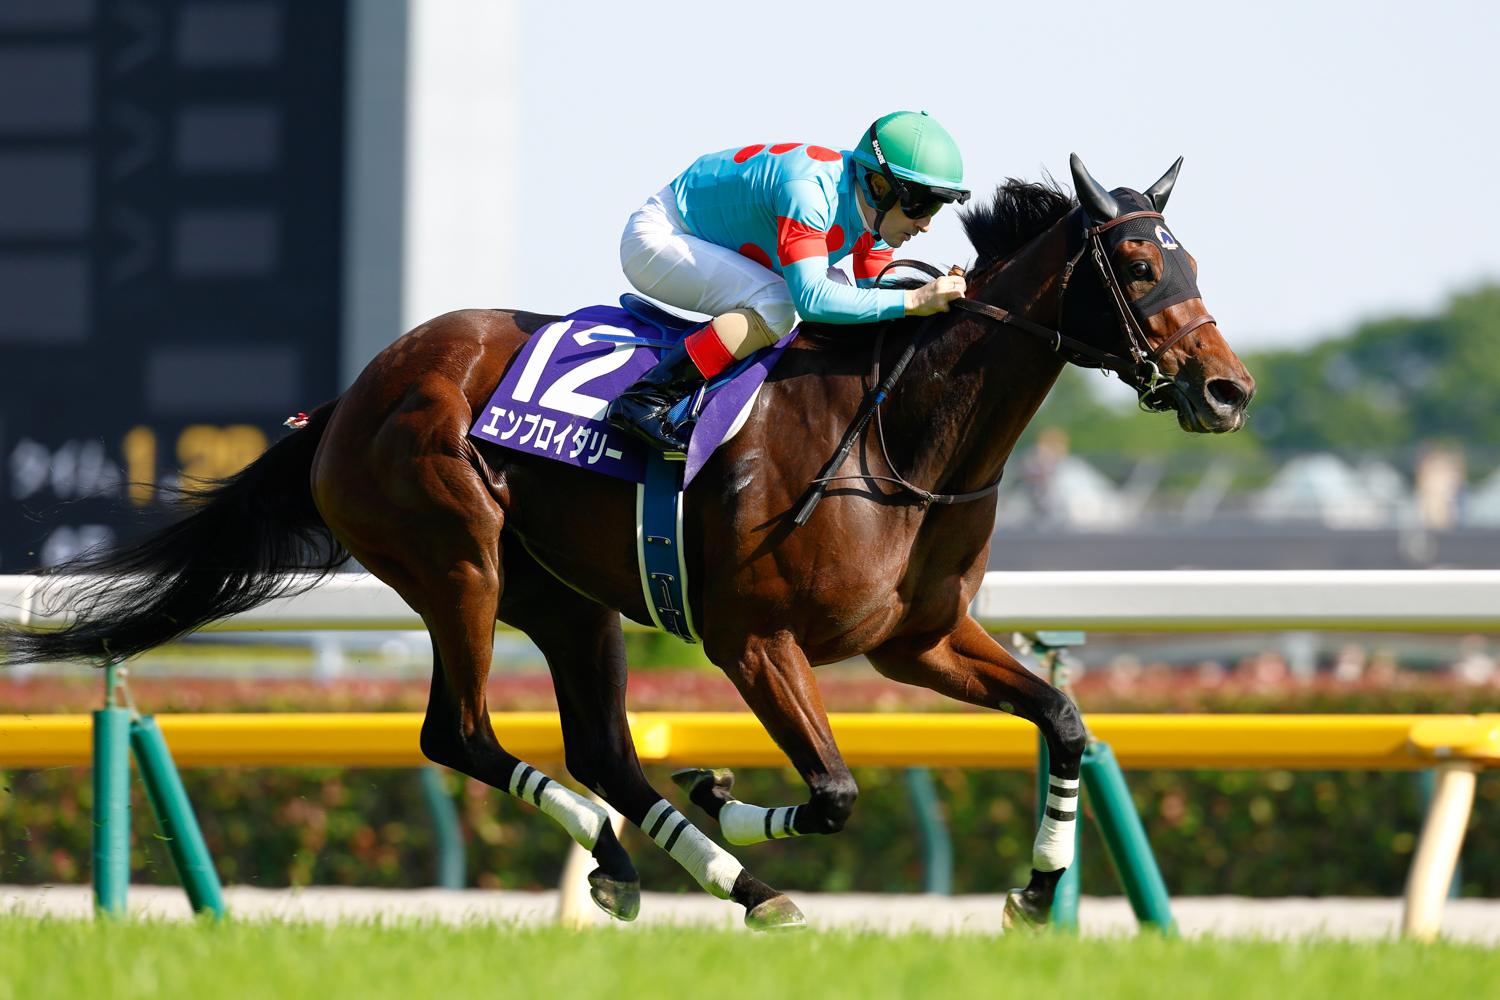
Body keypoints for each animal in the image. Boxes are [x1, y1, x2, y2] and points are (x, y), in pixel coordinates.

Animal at [2, 156, 1253, 930]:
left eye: (1197, 264)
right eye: (1141, 267)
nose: (1228, 389)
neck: (897, 431)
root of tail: (351, 397)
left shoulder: (921, 638)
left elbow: (1065, 722)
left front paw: (1035, 895)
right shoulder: (754, 639)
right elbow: (836, 790)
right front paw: (722, 784)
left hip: (570, 599)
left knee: (601, 748)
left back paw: (717, 882)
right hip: (458, 559)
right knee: (459, 731)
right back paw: (620, 851)